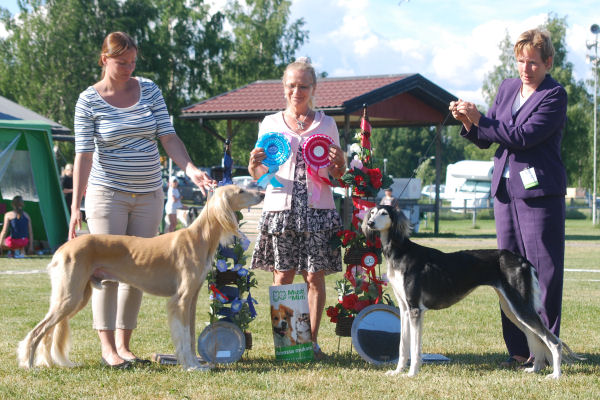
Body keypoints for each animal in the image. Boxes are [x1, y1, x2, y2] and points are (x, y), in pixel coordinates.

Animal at [17, 186, 262, 370]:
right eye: (241, 190)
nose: (261, 193)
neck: (198, 237)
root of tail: (62, 248)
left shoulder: (191, 299)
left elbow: (191, 336)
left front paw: (195, 363)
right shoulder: (181, 299)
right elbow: (183, 336)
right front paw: (191, 366)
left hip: (77, 296)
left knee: (48, 332)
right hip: (69, 296)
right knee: (38, 331)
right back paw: (29, 364)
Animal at [360, 206, 580, 378]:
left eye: (384, 213)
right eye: (372, 212)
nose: (370, 222)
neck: (400, 251)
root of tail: (523, 260)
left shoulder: (415, 310)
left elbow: (414, 348)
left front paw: (412, 373)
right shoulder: (405, 310)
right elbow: (403, 345)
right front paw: (398, 371)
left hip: (520, 306)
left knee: (553, 341)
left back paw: (556, 374)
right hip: (512, 309)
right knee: (535, 337)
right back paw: (535, 369)